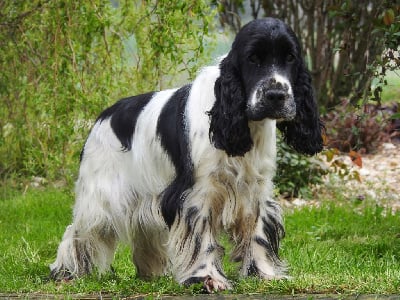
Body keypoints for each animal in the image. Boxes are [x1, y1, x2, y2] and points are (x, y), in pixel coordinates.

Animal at [50, 17, 324, 292]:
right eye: (253, 58)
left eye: (290, 58)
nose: (276, 96)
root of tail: (102, 117)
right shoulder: (196, 193)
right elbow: (203, 238)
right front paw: (207, 278)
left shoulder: (256, 189)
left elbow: (257, 233)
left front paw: (265, 274)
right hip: (100, 199)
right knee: (77, 232)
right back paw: (66, 272)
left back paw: (151, 274)